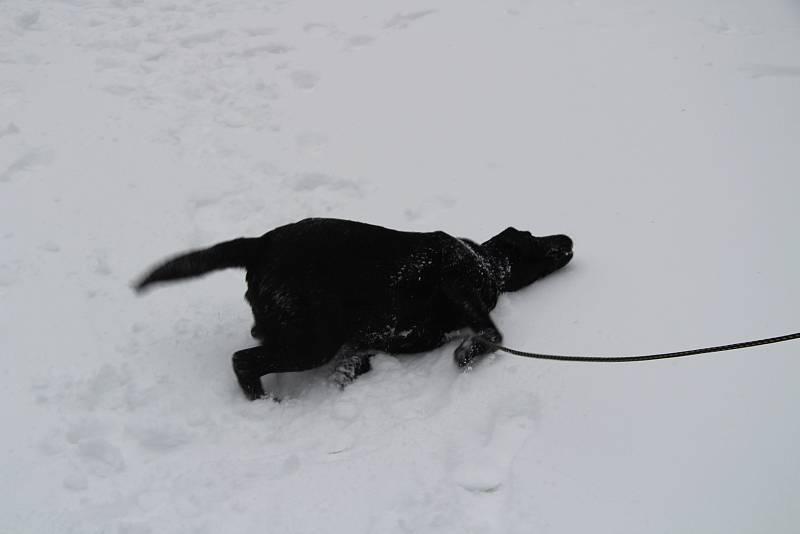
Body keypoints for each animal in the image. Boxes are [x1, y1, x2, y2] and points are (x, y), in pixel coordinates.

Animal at [134, 217, 572, 398]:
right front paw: (468, 352)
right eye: (534, 238)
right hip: (312, 342)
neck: (484, 261)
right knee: (242, 360)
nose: (569, 238)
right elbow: (492, 330)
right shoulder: (458, 280)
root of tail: (259, 244)